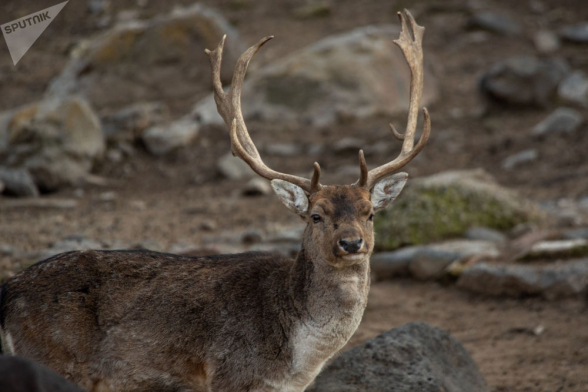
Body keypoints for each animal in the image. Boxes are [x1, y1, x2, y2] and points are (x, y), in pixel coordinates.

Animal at [0, 9, 432, 392]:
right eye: (315, 216)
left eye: (370, 213)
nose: (351, 243)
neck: (296, 361)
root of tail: (8, 292)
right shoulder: (230, 374)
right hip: (54, 359)